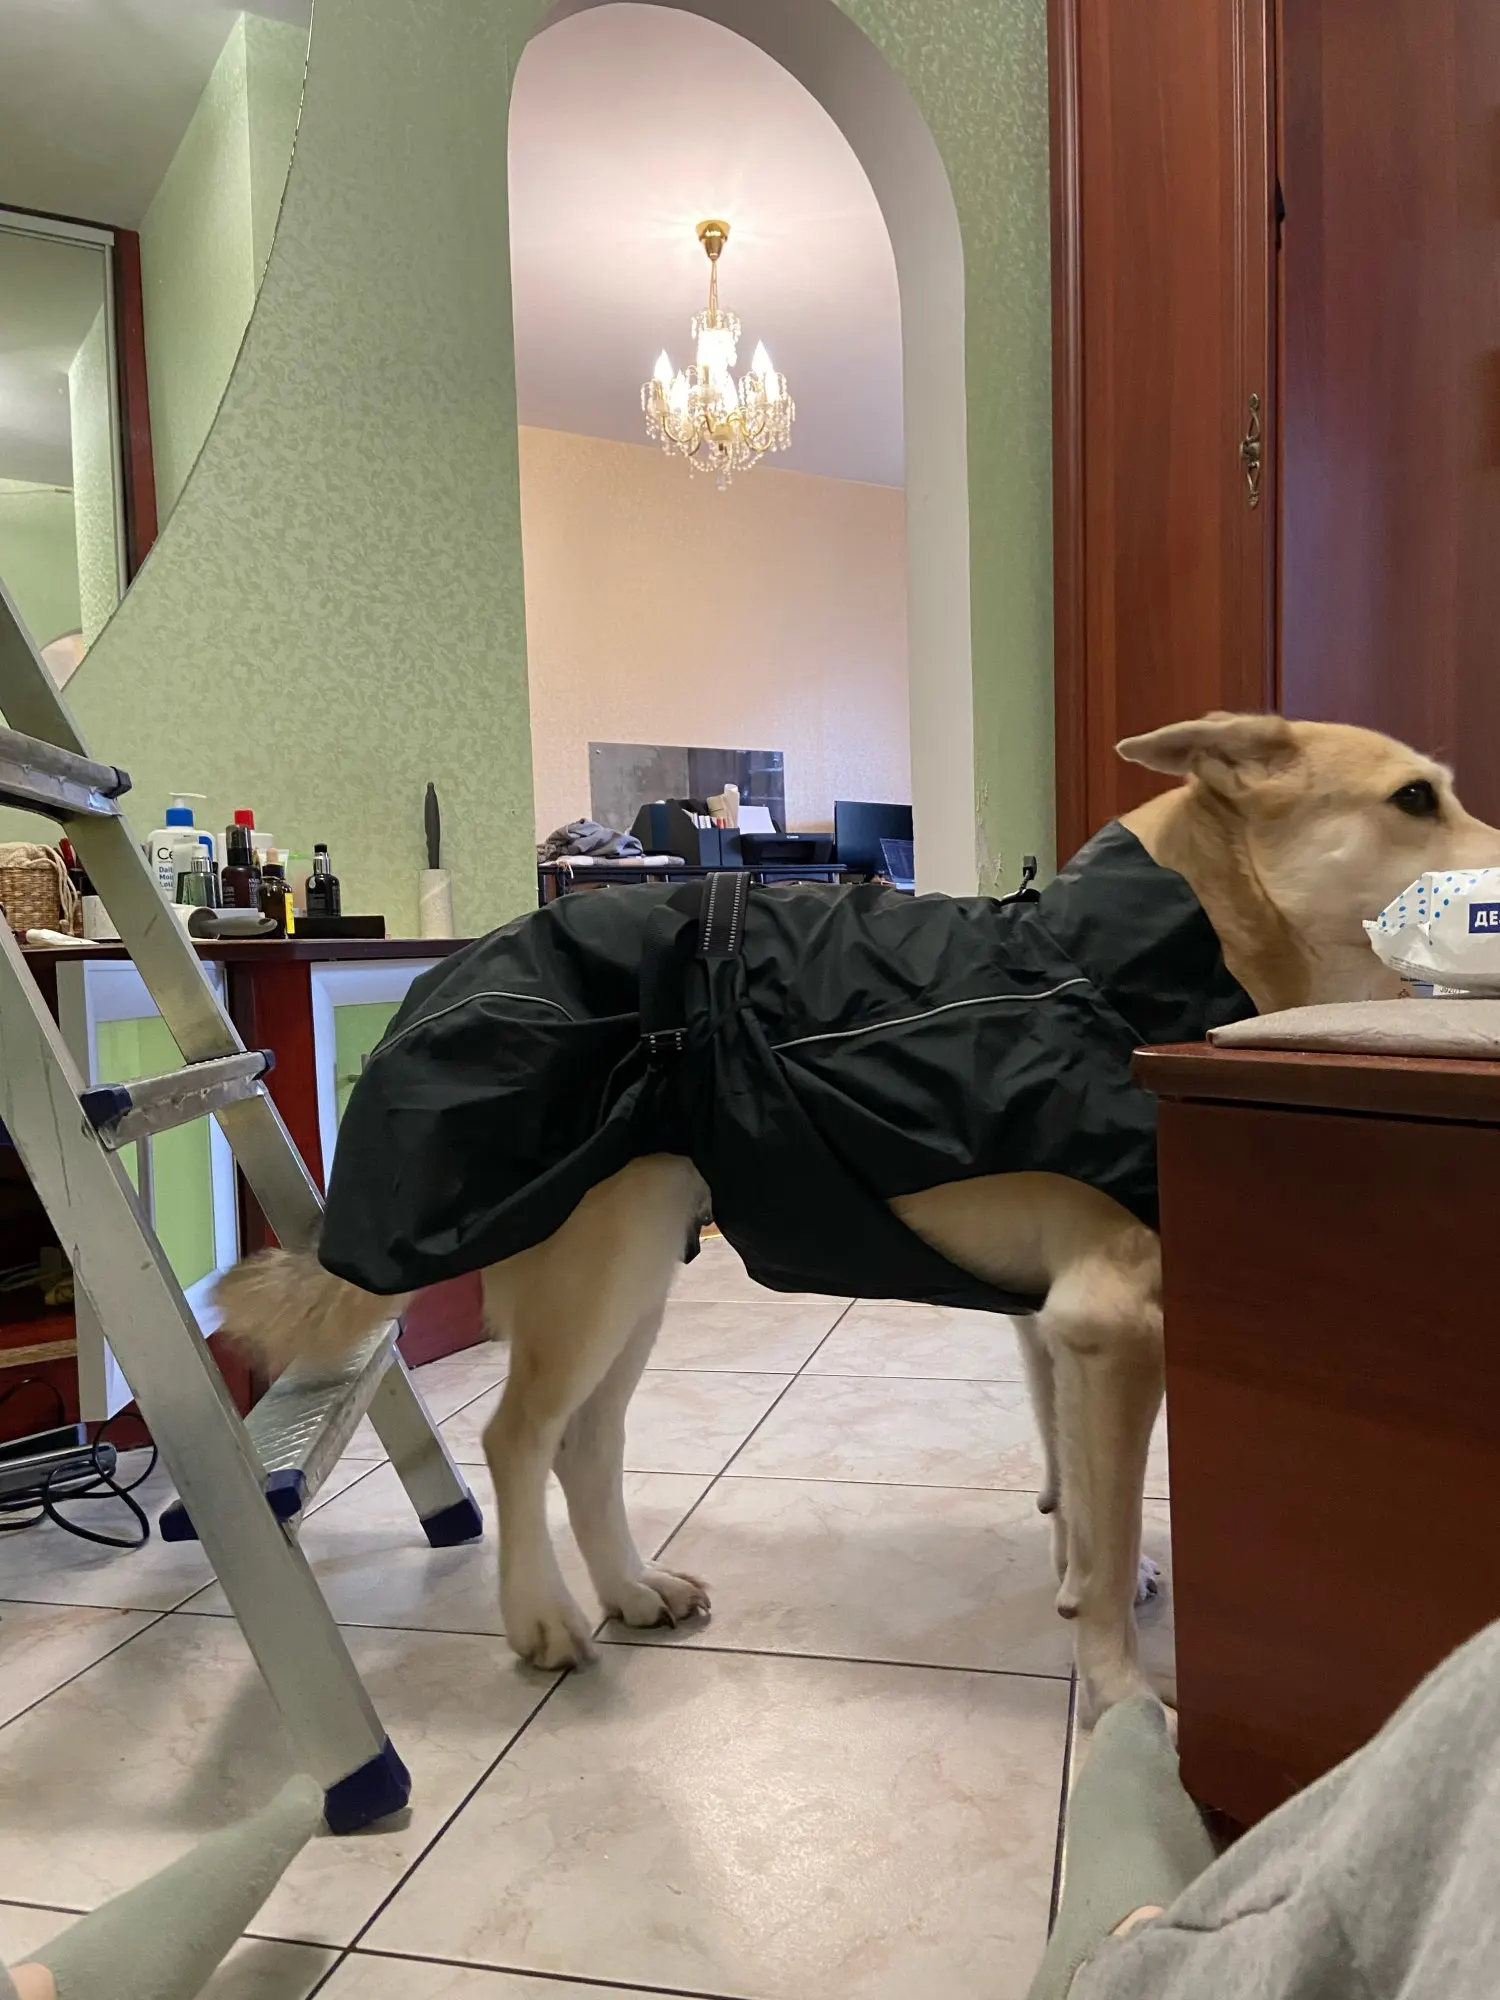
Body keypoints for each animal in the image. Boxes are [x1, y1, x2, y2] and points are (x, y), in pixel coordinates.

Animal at [216, 713, 1500, 1715]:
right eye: (1414, 798)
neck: (1158, 949)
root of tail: (452, 970)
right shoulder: (1112, 1323)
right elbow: (1107, 1515)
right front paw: (1122, 1692)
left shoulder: (1053, 1327)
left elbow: (1081, 1491)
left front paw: (1092, 1576)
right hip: (598, 1274)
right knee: (517, 1437)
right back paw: (544, 1619)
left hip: (640, 1275)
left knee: (588, 1442)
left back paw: (631, 1586)